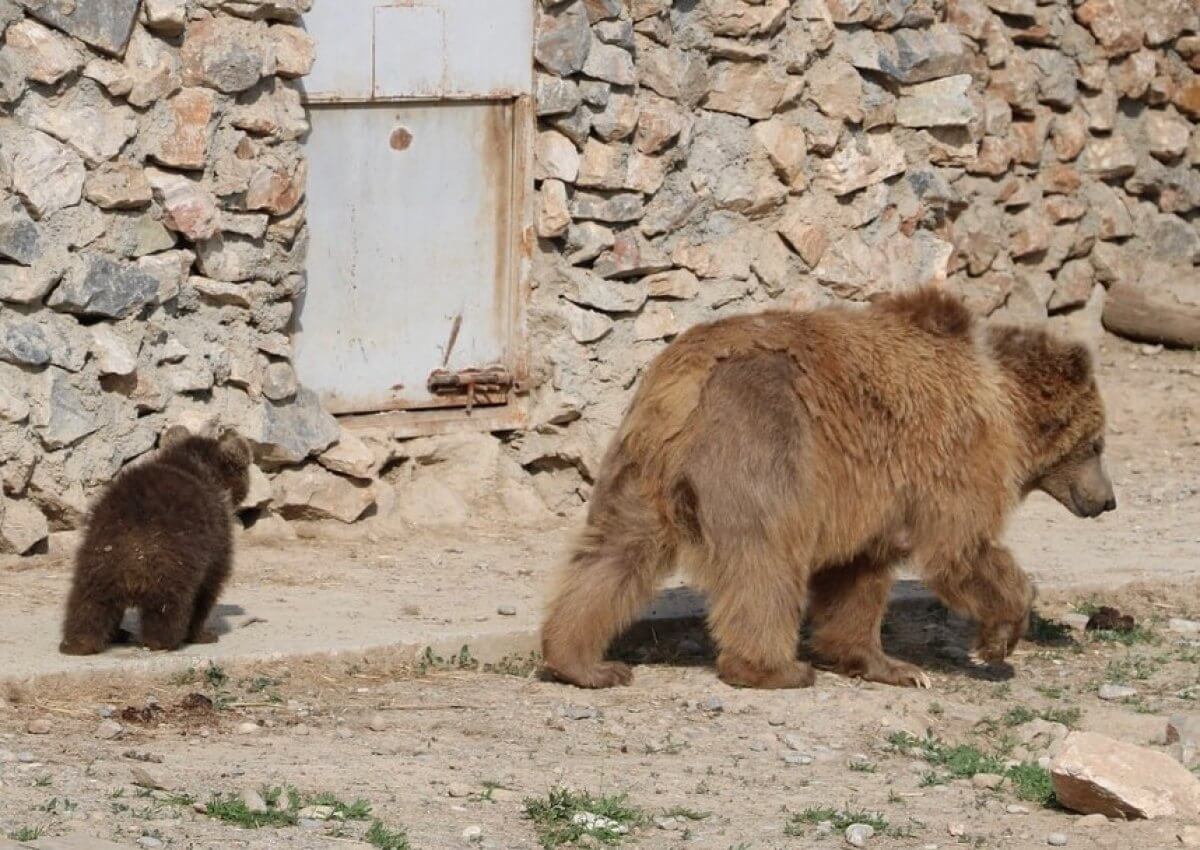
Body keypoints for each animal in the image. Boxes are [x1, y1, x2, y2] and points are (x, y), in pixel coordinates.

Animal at [540, 289, 1108, 686]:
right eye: (1097, 443)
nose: (1107, 499)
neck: (1003, 405)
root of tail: (684, 380)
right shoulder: (952, 456)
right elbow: (961, 548)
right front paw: (996, 640)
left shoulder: (875, 491)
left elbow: (856, 577)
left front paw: (888, 665)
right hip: (763, 441)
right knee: (766, 560)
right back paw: (775, 669)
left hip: (640, 469)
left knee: (614, 555)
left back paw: (582, 663)